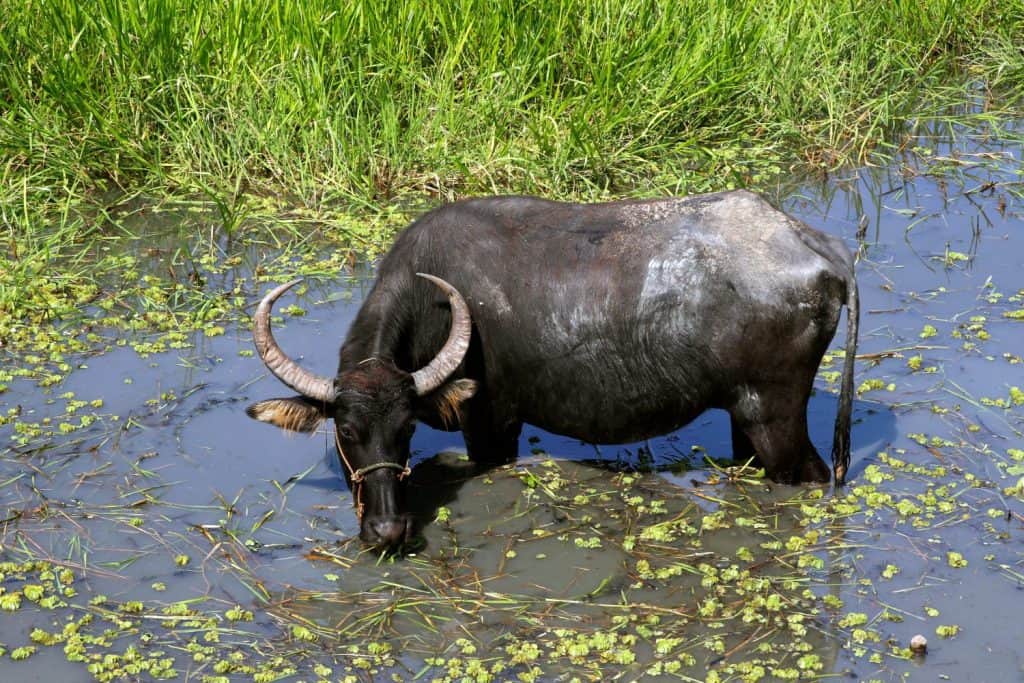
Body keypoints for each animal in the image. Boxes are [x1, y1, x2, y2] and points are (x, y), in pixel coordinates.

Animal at [247, 190, 858, 547]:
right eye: (348, 431)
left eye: (404, 428)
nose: (386, 531)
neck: (432, 299)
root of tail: (817, 247)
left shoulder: (490, 424)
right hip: (743, 418)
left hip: (775, 419)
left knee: (811, 474)